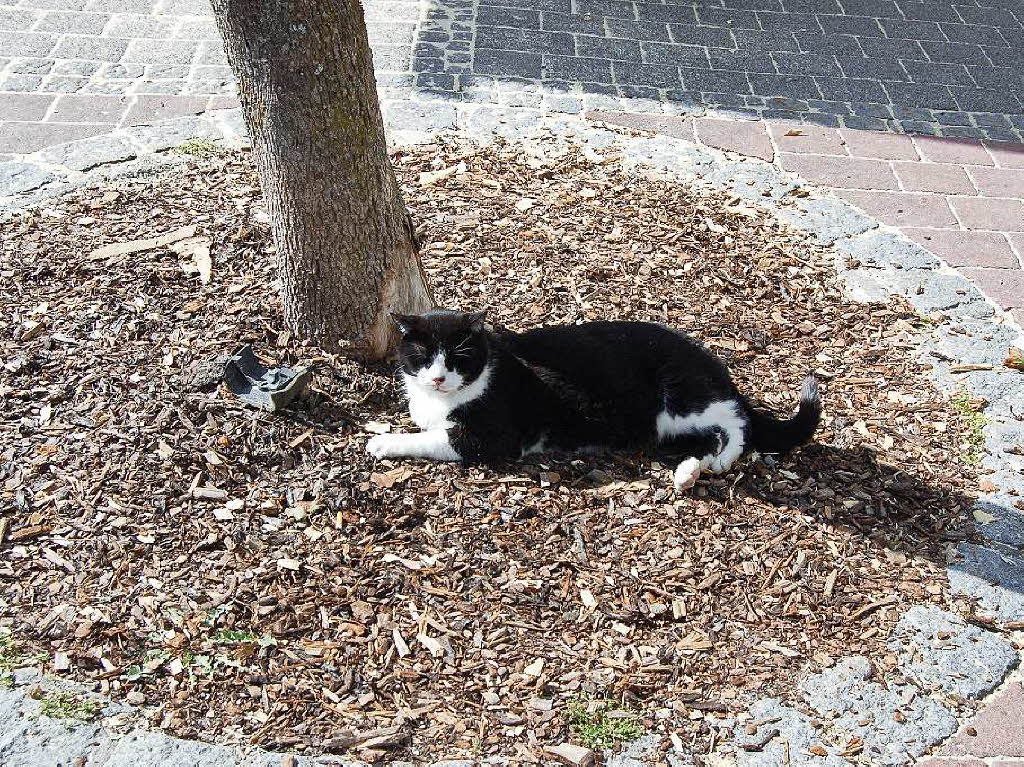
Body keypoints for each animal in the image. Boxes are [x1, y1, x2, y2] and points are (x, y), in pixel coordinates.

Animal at [364, 307, 819, 487]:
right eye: (423, 357)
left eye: (458, 359)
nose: (439, 378)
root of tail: (713, 363)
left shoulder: (490, 438)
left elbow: (429, 437)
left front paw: (383, 442)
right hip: (671, 425)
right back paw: (688, 472)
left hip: (681, 400)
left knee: (736, 422)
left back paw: (719, 461)